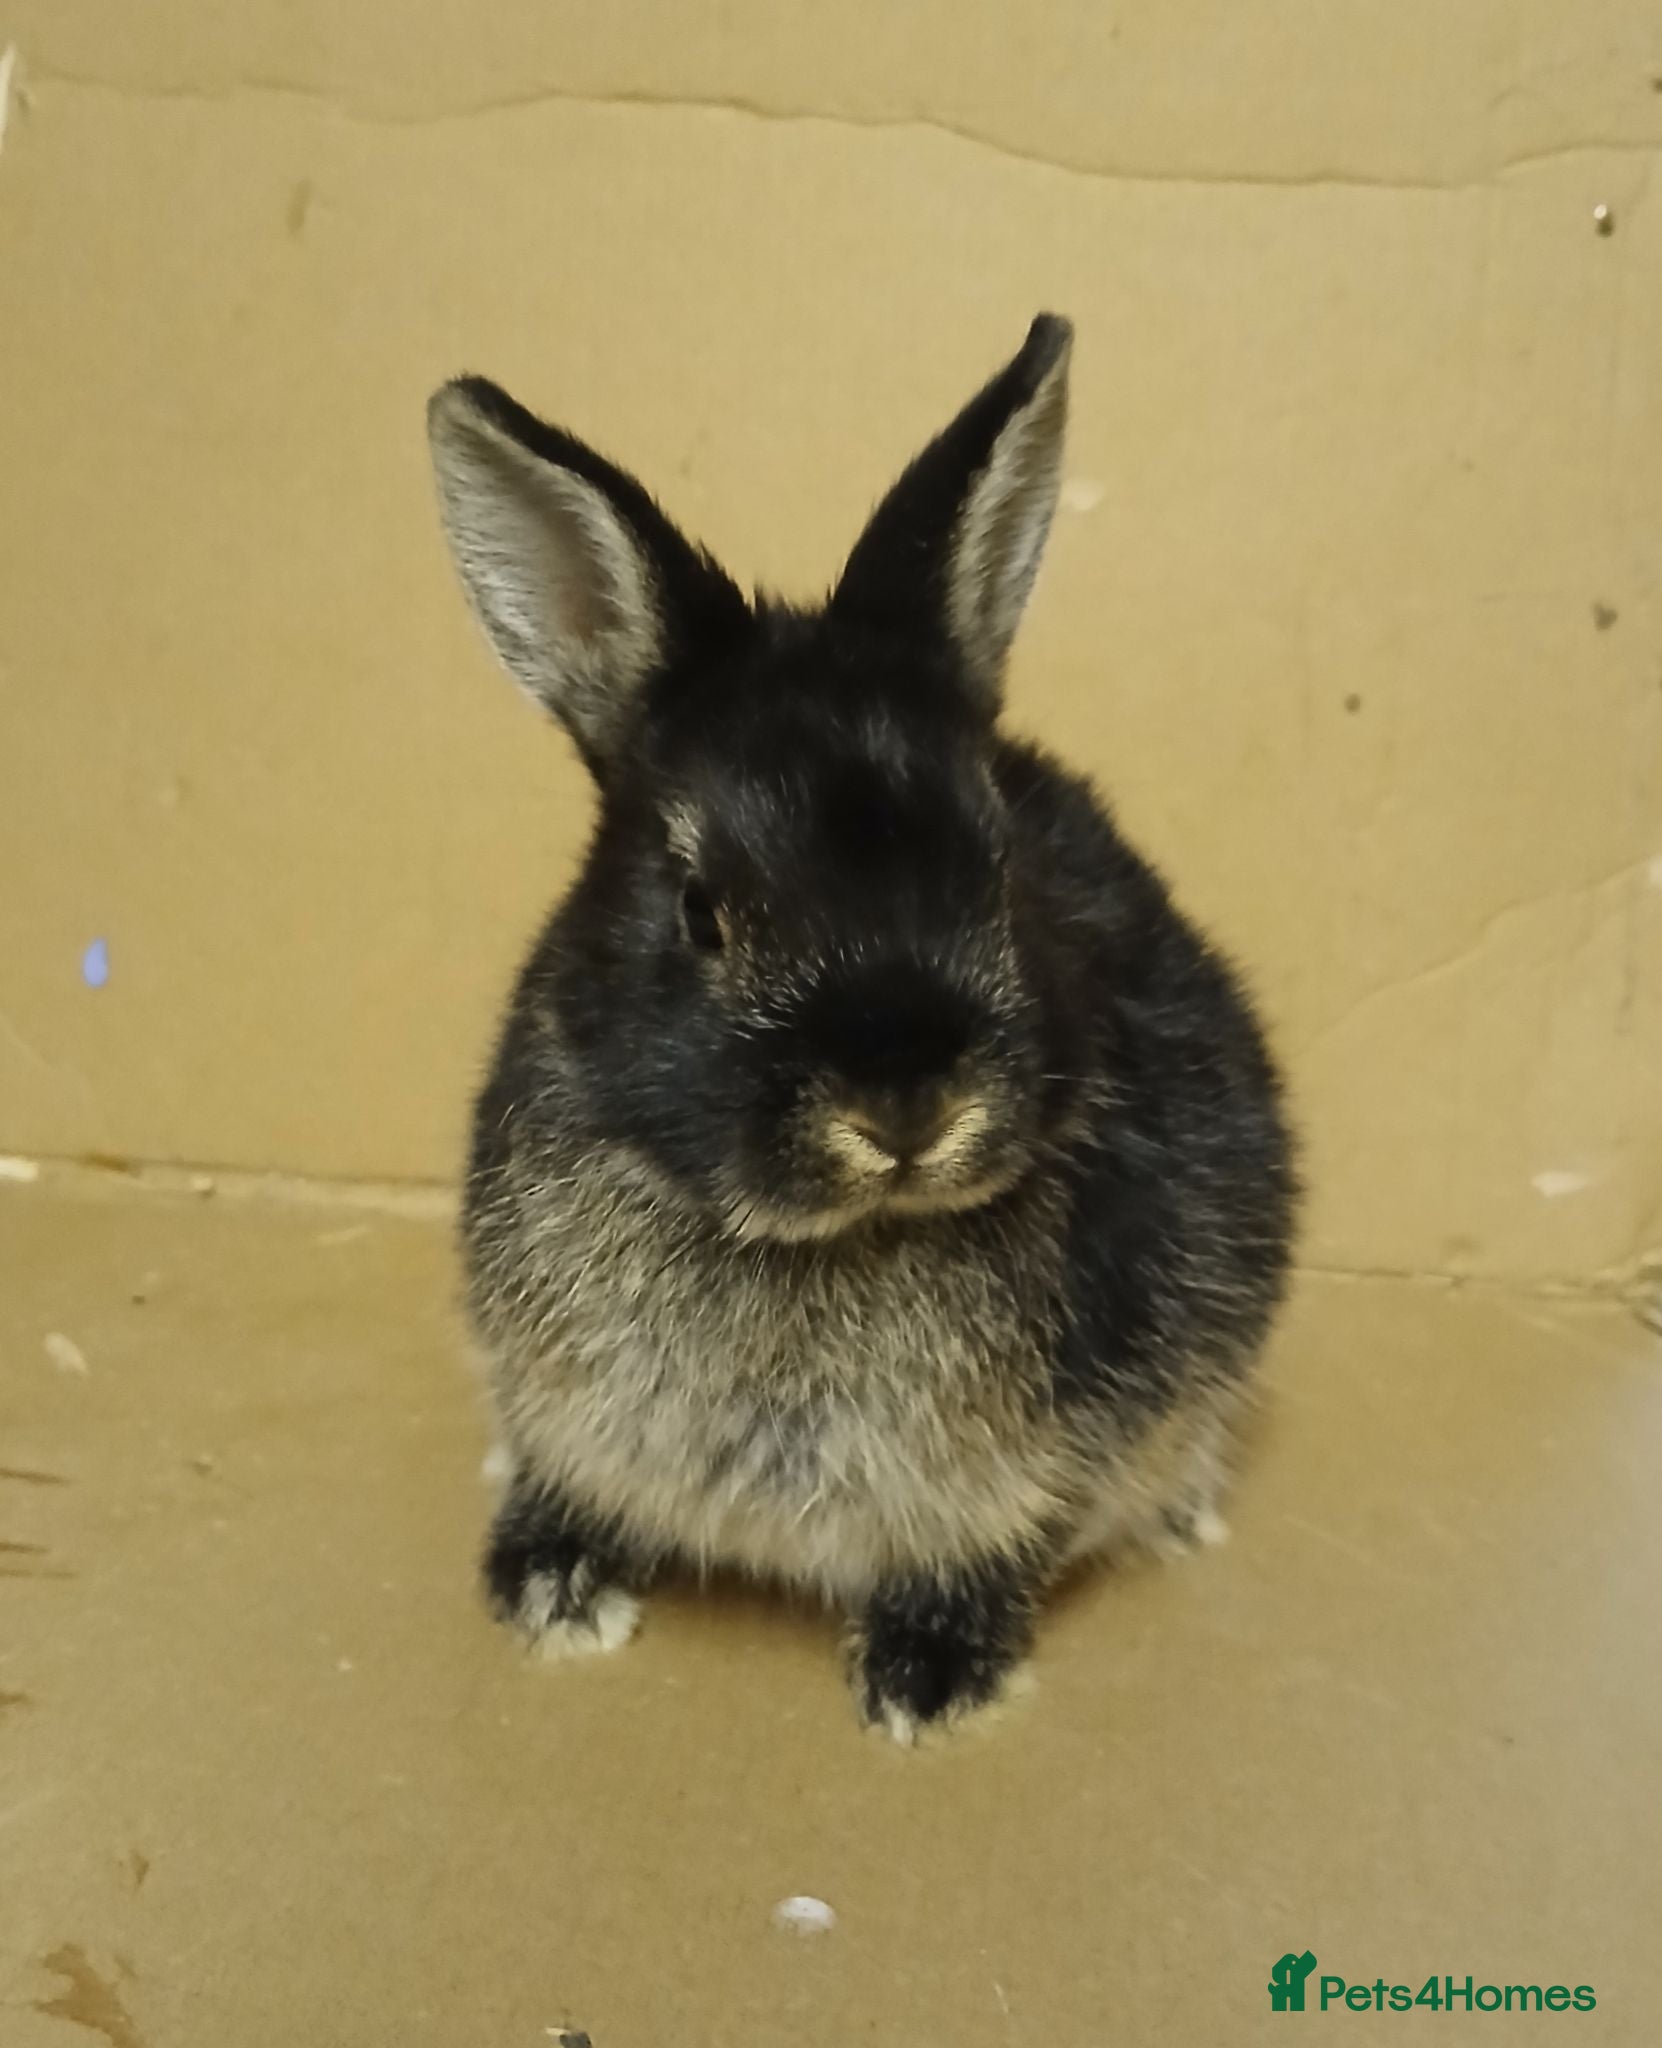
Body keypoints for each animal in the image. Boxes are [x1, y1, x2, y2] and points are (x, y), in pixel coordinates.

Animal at [425, 314, 1297, 1742]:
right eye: (700, 907)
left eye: (998, 869)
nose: (903, 1103)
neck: (824, 1239)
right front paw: (549, 1589)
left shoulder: (1025, 1470)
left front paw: (928, 1683)